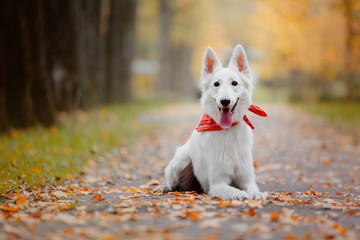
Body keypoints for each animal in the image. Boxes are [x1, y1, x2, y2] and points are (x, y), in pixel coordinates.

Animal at [158, 43, 268, 201]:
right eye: (216, 84)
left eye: (234, 83)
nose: (225, 101)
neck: (228, 131)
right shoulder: (217, 184)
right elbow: (235, 191)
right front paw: (242, 194)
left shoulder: (246, 179)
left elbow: (253, 188)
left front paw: (256, 194)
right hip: (181, 159)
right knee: (172, 182)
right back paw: (165, 186)